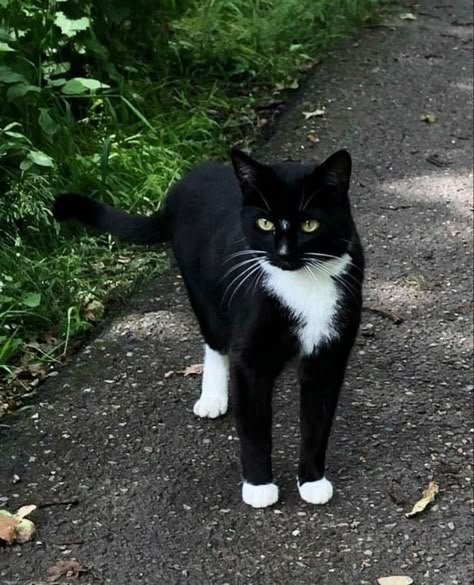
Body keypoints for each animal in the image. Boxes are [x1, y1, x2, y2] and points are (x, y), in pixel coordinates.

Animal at [52, 149, 362, 506]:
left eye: (310, 224)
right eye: (265, 223)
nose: (283, 253)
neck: (302, 286)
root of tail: (182, 184)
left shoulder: (329, 353)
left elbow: (317, 421)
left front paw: (312, 481)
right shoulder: (250, 358)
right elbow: (254, 425)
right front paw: (258, 486)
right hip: (198, 287)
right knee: (215, 340)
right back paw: (213, 397)